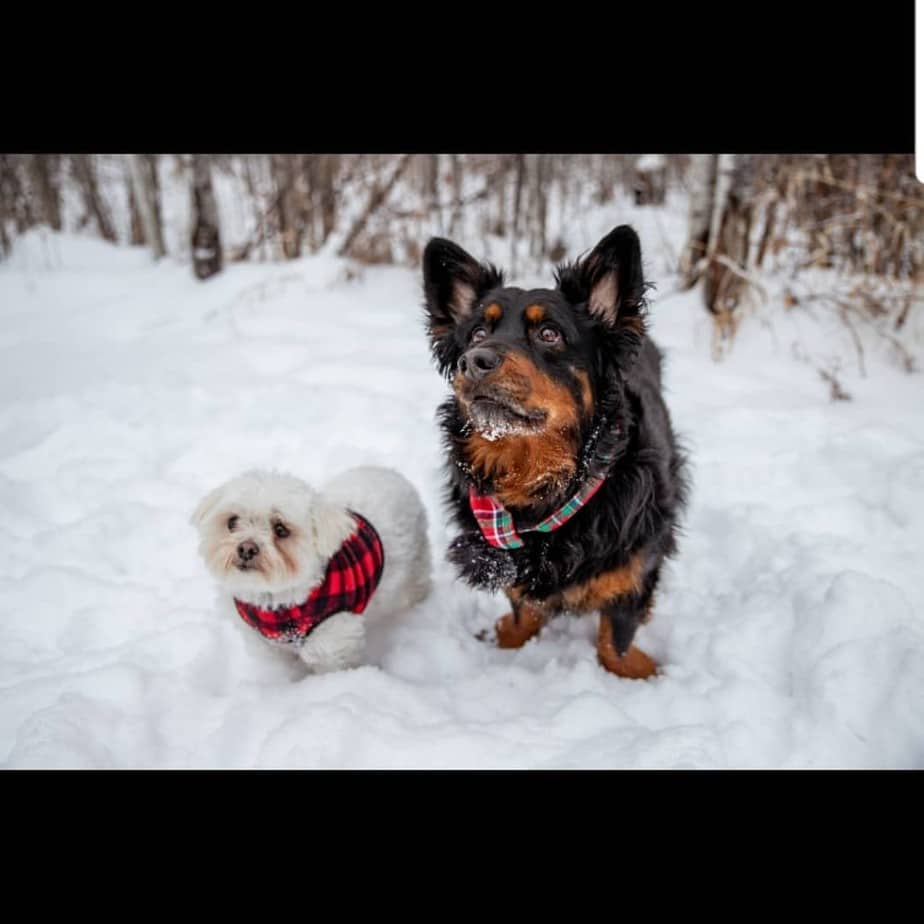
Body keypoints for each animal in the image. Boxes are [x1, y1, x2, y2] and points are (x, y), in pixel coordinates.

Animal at [193, 470, 432, 672]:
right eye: (232, 522)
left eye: (281, 529)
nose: (246, 548)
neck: (277, 604)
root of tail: (390, 473)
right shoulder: (265, 644)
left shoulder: (331, 644)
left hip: (415, 566)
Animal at [424, 222, 684, 672]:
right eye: (477, 333)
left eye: (549, 334)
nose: (472, 361)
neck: (546, 488)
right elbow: (523, 610)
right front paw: (509, 641)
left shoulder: (636, 566)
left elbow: (614, 640)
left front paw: (634, 674)